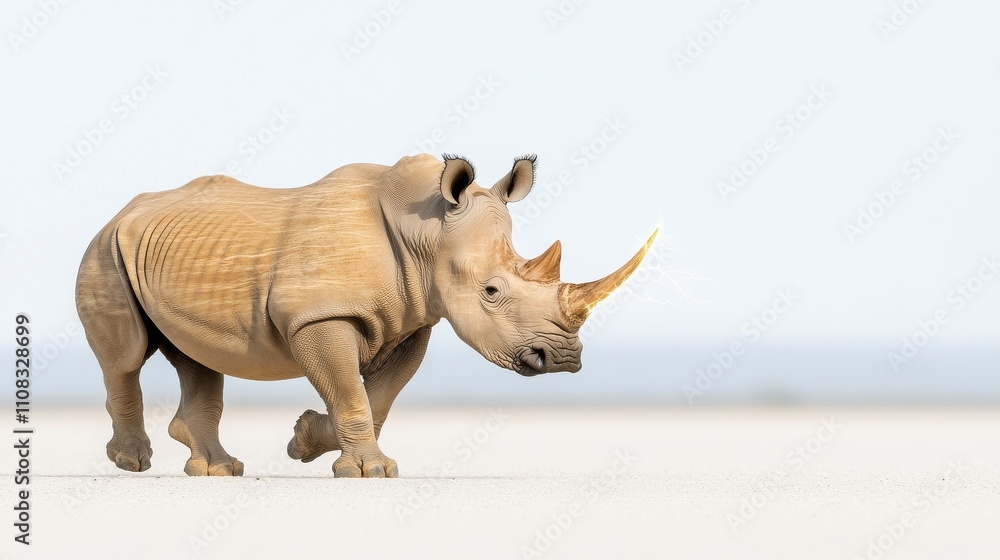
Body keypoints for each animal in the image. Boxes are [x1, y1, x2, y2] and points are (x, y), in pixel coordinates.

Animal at [75, 153, 656, 478]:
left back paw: (217, 471)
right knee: (125, 357)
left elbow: (377, 398)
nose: (562, 359)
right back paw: (132, 463)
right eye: (491, 290)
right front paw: (368, 471)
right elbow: (351, 390)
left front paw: (305, 440)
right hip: (104, 247)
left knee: (198, 358)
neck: (428, 231)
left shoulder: (414, 318)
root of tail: (123, 211)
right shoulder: (318, 315)